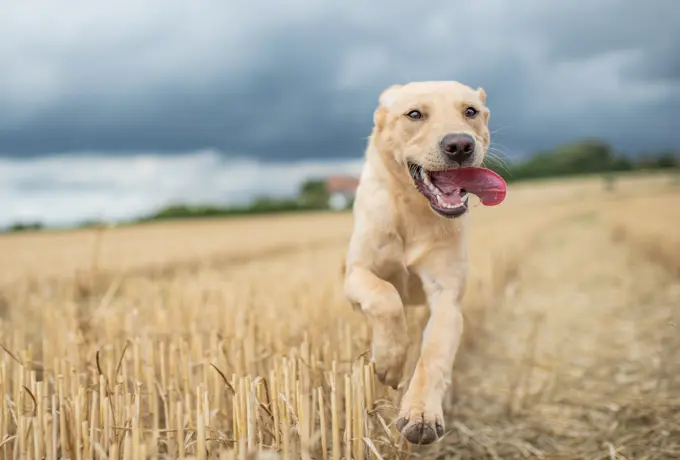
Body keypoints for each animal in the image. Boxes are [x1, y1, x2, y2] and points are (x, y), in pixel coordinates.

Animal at [346, 81, 504, 444]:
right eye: (414, 114)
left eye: (470, 111)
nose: (460, 145)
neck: (412, 209)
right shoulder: (357, 273)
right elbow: (385, 297)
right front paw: (389, 361)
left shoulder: (446, 295)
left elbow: (433, 353)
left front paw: (420, 415)